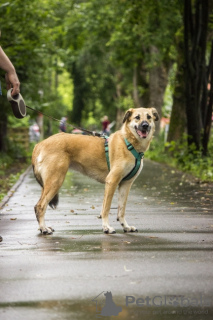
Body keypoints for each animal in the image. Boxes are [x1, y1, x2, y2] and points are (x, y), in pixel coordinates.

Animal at [31, 106, 158, 234]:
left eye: (149, 117)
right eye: (137, 117)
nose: (145, 125)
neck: (129, 142)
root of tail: (39, 144)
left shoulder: (125, 185)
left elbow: (121, 209)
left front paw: (125, 226)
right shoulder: (111, 181)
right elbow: (106, 208)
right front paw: (106, 227)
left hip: (48, 183)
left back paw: (43, 227)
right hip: (55, 181)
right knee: (40, 206)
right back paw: (44, 228)